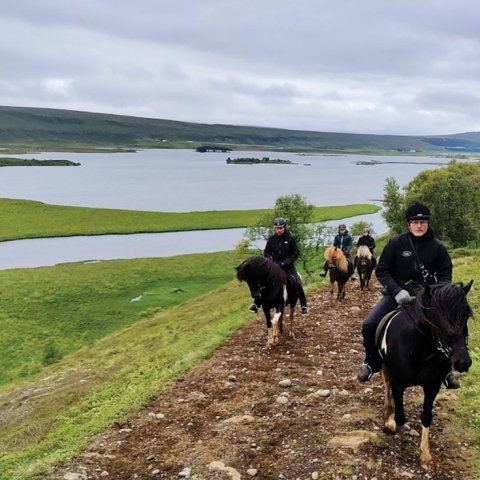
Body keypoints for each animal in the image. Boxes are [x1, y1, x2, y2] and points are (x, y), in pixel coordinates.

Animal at [376, 280, 474, 466]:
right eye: (438, 320)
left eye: (466, 316)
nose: (463, 362)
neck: (419, 349)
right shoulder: (398, 384)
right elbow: (400, 417)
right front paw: (390, 423)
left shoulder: (432, 386)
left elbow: (426, 416)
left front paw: (425, 453)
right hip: (384, 368)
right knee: (386, 387)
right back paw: (388, 416)